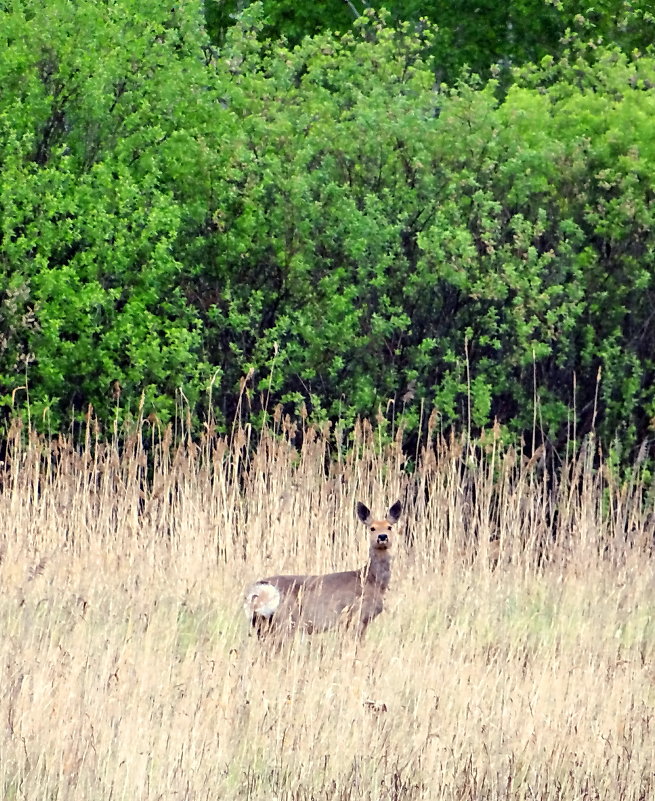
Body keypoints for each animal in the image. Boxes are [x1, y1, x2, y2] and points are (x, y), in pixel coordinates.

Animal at [243, 500, 402, 644]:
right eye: (372, 528)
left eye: (389, 527)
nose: (382, 537)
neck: (371, 579)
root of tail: (258, 590)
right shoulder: (356, 615)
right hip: (283, 621)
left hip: (263, 624)